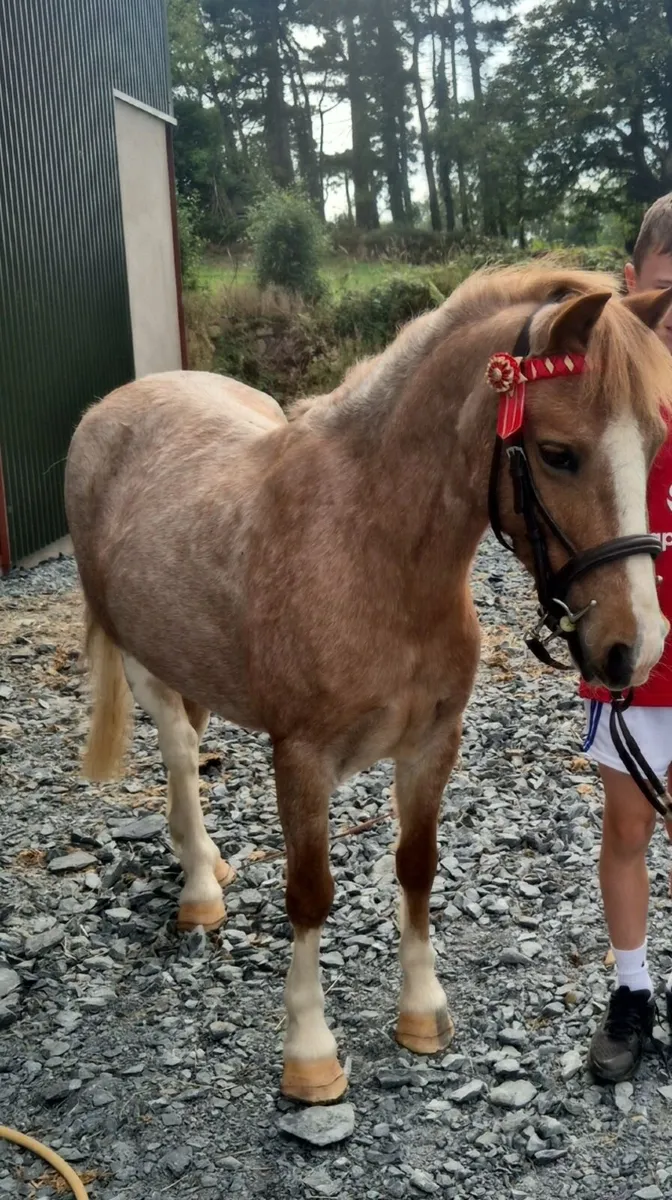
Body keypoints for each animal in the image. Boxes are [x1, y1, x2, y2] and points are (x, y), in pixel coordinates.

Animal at [64, 264, 672, 1104]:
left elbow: (416, 867)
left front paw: (422, 1014)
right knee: (181, 751)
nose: (635, 647)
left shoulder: (430, 745)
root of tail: (114, 406)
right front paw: (311, 1056)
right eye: (558, 454)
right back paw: (199, 891)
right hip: (141, 657)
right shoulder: (302, 759)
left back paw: (208, 863)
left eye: (653, 444)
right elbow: (310, 894)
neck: (369, 549)